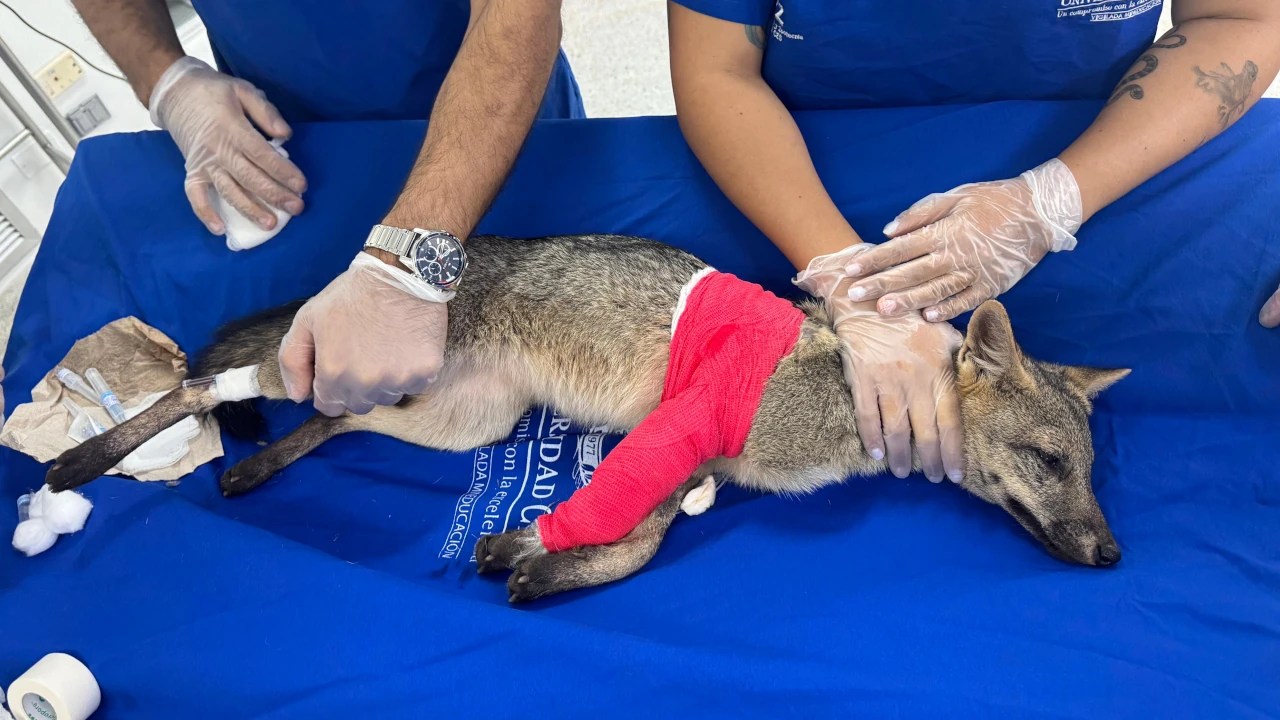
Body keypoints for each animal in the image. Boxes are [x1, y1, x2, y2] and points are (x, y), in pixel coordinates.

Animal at [44, 234, 1129, 602]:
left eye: (1090, 471)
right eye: (1048, 463)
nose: (1114, 555)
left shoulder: (701, 465)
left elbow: (649, 530)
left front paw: (543, 557)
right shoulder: (684, 428)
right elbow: (626, 520)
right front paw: (542, 547)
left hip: (457, 425)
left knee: (336, 426)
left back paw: (252, 469)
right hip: (327, 379)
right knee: (205, 387)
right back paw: (82, 464)